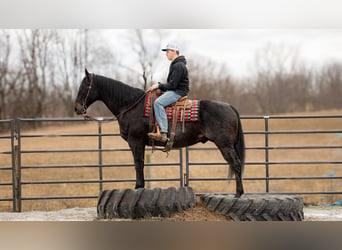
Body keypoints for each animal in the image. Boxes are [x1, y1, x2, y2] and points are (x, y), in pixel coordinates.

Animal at [75, 69, 246, 197]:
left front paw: (138, 187)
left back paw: (238, 193)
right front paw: (140, 186)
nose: (77, 108)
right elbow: (141, 163)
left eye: (84, 86)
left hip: (225, 145)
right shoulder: (139, 143)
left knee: (236, 164)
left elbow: (138, 163)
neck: (131, 105)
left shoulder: (135, 141)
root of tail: (229, 106)